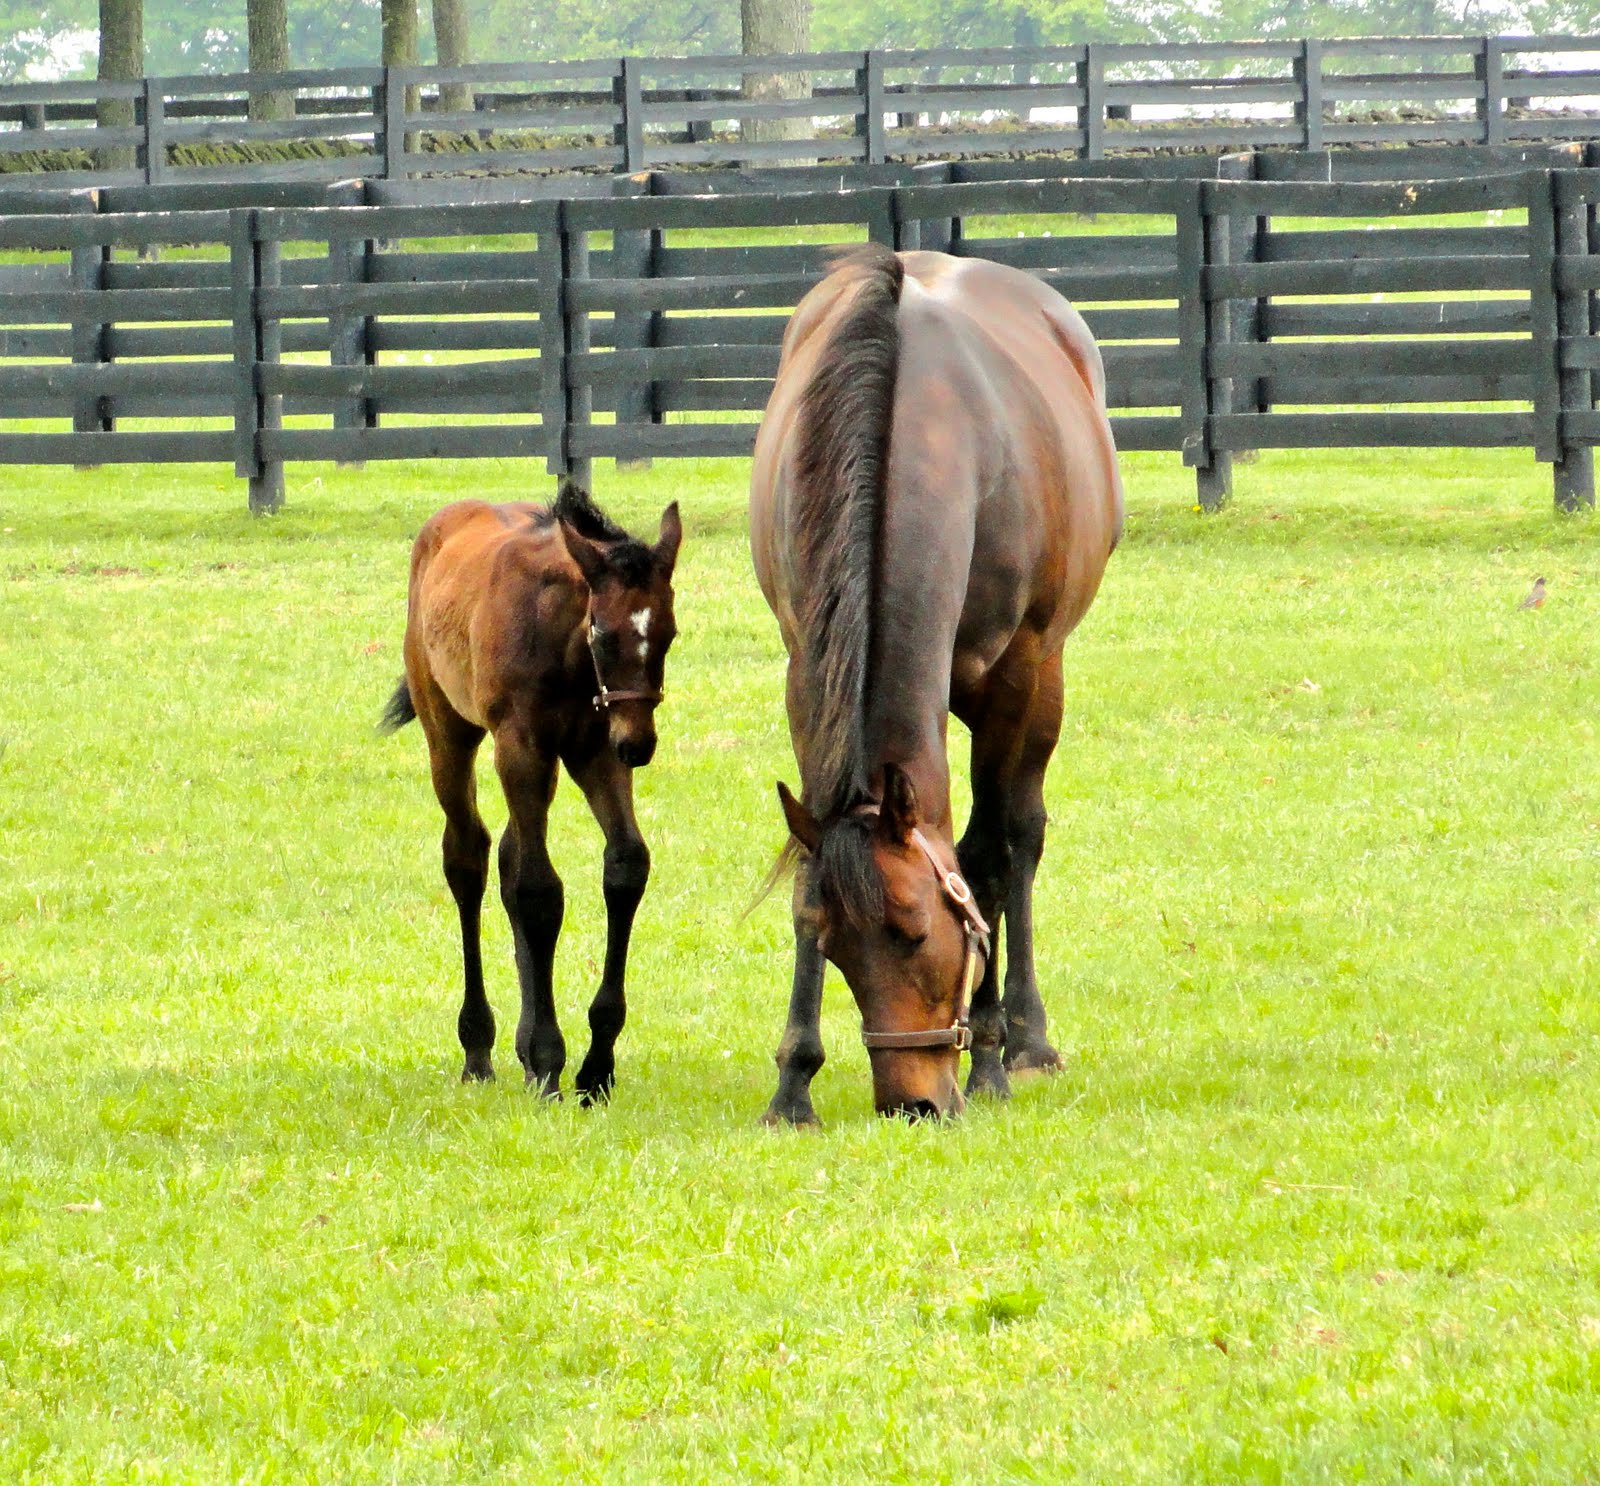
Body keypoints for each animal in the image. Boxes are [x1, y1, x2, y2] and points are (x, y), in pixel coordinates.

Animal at [380, 479, 682, 1103]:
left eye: (668, 633)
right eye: (603, 632)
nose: (639, 745)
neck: (560, 640)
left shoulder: (595, 747)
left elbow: (625, 865)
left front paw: (595, 1067)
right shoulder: (521, 746)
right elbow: (539, 889)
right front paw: (547, 1061)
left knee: (508, 855)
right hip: (449, 730)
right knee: (468, 856)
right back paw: (479, 1049)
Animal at [749, 244, 1123, 1122]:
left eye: (918, 934)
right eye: (837, 950)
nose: (910, 1103)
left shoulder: (1015, 676)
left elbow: (985, 857)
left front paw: (988, 1055)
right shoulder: (804, 667)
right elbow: (811, 863)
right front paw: (794, 1081)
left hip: (1044, 681)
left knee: (1020, 836)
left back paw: (1026, 1039)